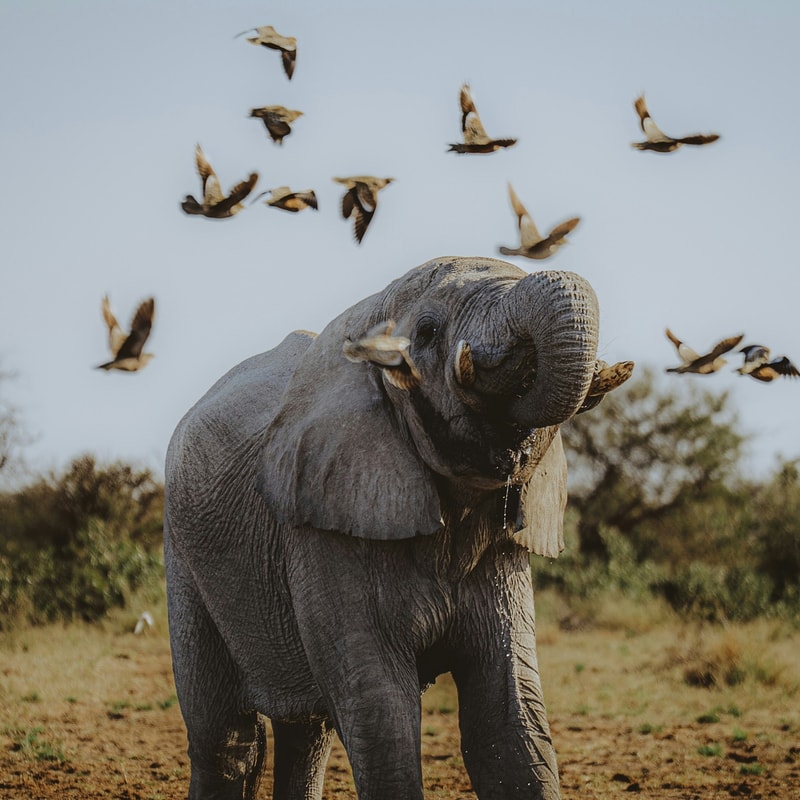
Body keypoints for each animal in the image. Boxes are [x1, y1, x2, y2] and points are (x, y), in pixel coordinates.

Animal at [164, 255, 624, 800]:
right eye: (426, 331)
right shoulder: (326, 527)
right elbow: (381, 715)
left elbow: (509, 719)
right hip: (185, 555)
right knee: (227, 739)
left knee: (308, 731)